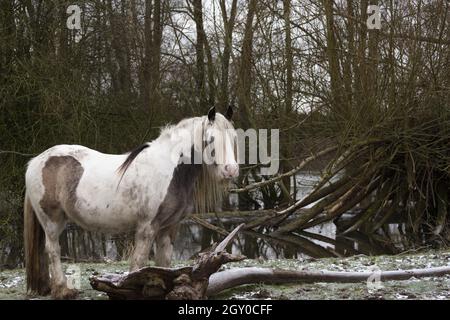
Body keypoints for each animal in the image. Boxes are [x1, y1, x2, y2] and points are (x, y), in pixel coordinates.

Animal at [23, 106, 239, 298]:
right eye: (211, 140)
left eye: (234, 138)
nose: (231, 170)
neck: (169, 169)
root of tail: (36, 161)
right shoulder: (147, 227)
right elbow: (139, 262)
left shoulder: (169, 227)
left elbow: (164, 261)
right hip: (52, 221)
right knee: (53, 251)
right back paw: (63, 290)